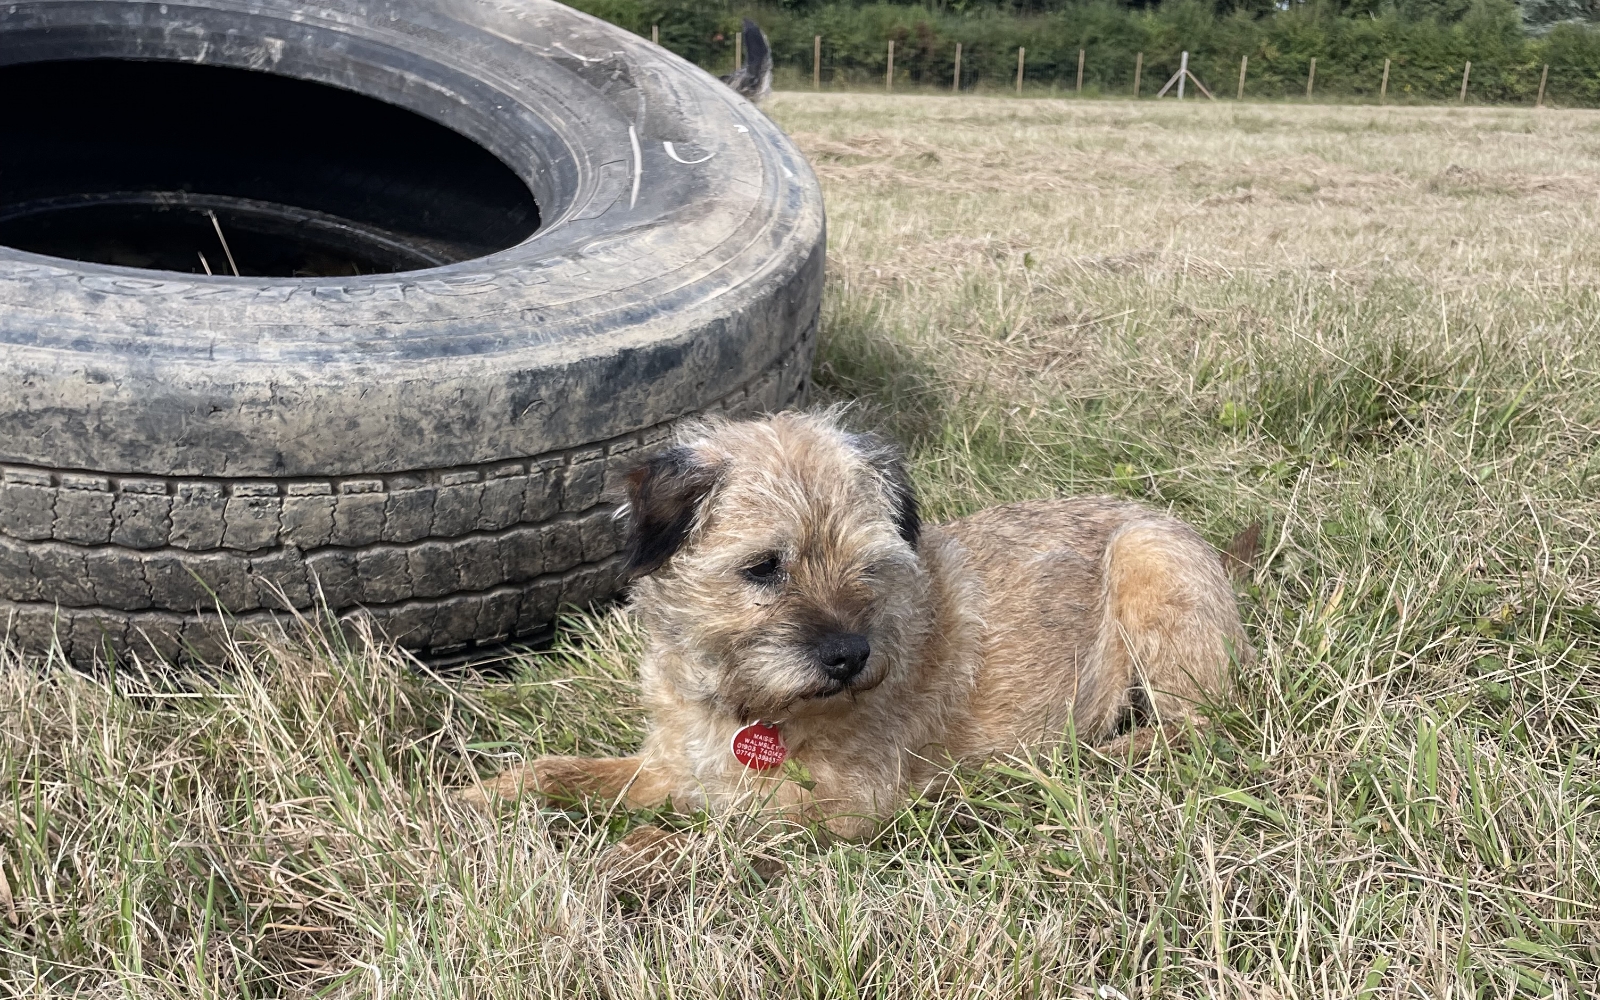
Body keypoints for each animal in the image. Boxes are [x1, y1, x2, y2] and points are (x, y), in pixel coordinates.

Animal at [464, 409, 1248, 838]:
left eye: (867, 566)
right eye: (763, 567)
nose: (848, 655)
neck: (741, 704)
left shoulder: (839, 808)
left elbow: (710, 836)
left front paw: (639, 854)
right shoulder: (666, 766)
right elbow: (557, 770)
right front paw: (475, 801)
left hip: (1148, 565)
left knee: (1192, 728)